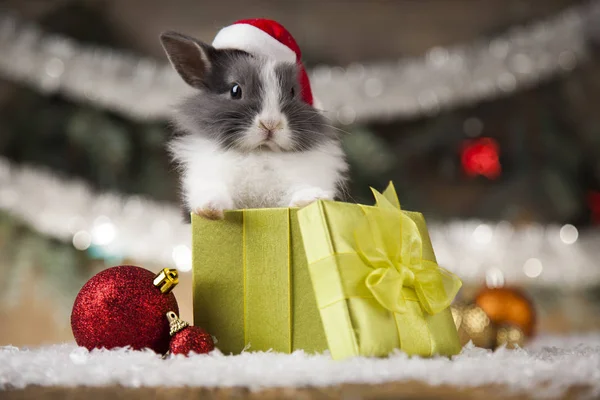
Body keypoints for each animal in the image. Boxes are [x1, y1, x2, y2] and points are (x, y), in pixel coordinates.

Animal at [161, 31, 346, 220]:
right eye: (235, 90)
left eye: (293, 92)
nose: (270, 123)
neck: (260, 151)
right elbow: (214, 191)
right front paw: (209, 210)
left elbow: (300, 190)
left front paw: (312, 199)